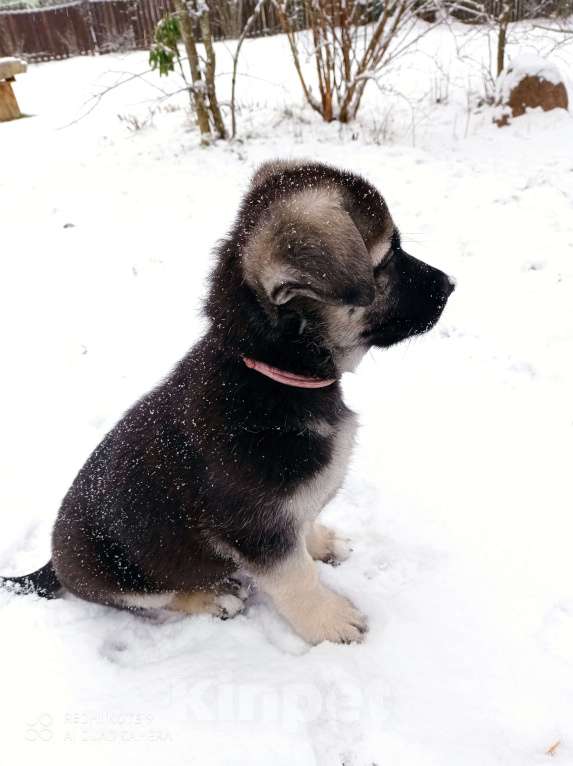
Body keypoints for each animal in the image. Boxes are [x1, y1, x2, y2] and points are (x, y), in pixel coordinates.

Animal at [2, 159, 454, 644]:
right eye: (387, 259)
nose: (452, 284)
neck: (266, 373)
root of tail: (52, 564)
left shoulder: (284, 519)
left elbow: (304, 528)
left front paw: (321, 543)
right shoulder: (257, 531)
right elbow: (297, 578)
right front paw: (329, 620)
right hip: (123, 579)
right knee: (162, 598)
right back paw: (214, 597)